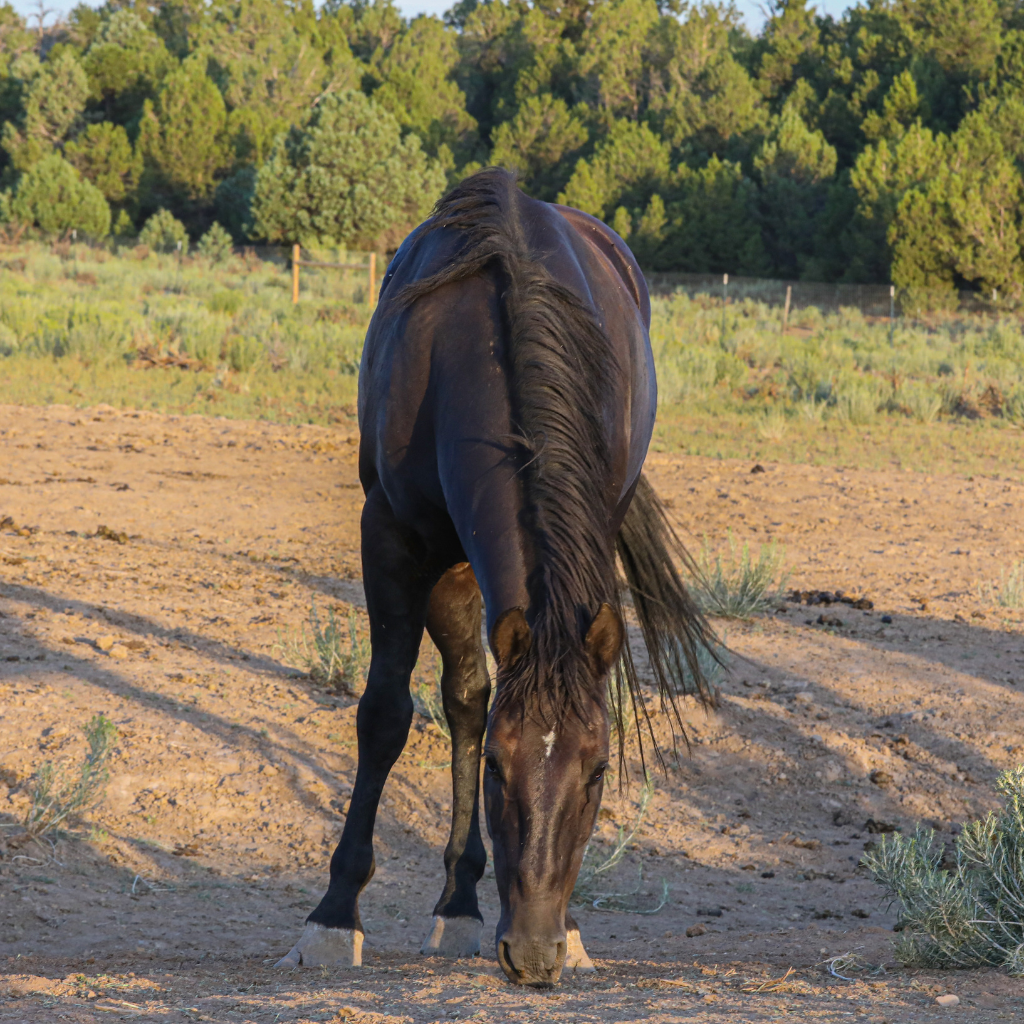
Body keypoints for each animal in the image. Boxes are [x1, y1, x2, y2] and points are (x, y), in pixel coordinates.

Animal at [280, 167, 712, 983]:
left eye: (599, 771)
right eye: (497, 771)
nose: (535, 954)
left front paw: (569, 928)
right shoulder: (396, 537)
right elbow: (388, 714)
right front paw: (332, 915)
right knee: (466, 700)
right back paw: (456, 905)